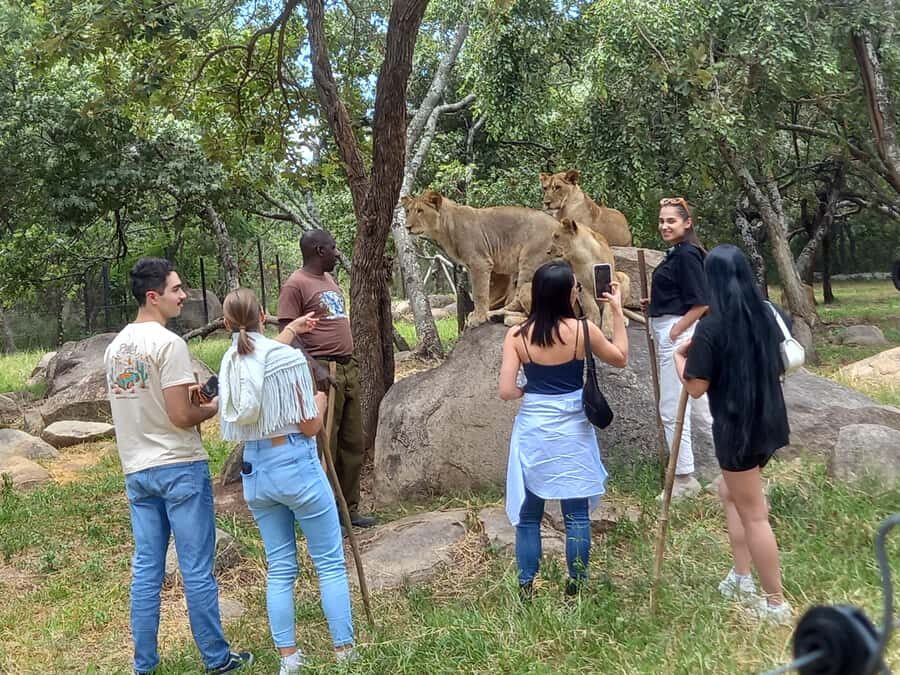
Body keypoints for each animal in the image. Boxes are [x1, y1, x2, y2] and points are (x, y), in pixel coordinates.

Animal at [401, 191, 559, 327]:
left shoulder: (480, 263)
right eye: (408, 211)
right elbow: (487, 291)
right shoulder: (475, 266)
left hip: (529, 263)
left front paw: (478, 318)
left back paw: (502, 316)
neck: (445, 228)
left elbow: (479, 293)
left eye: (420, 211)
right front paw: (478, 314)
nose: (407, 227)